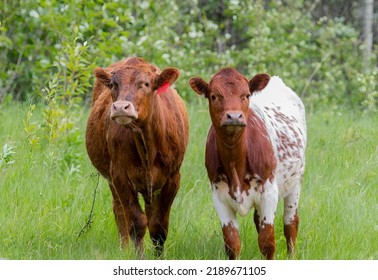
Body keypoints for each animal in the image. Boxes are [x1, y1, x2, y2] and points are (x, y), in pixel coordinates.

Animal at [87, 57, 190, 256]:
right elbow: (136, 222)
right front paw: (138, 256)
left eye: (146, 84)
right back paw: (124, 249)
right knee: (120, 211)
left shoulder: (173, 178)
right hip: (112, 180)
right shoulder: (120, 176)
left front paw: (159, 257)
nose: (120, 107)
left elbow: (158, 226)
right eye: (113, 84)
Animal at [190, 68, 306, 260]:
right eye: (214, 96)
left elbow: (267, 242)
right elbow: (232, 243)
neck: (235, 161)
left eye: (246, 95)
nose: (234, 116)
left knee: (290, 223)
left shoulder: (269, 192)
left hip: (295, 183)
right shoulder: (219, 195)